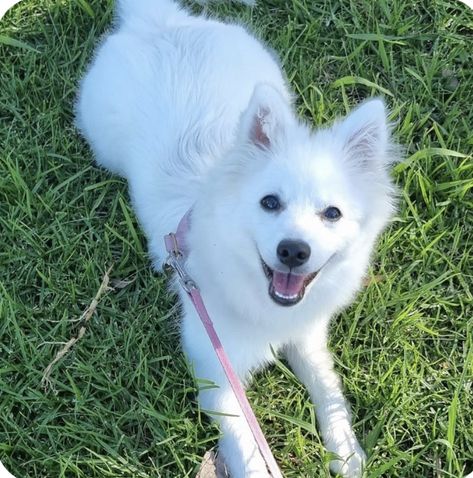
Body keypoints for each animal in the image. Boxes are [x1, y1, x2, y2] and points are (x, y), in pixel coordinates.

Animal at [75, 1, 396, 476]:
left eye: (332, 214)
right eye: (270, 202)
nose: (293, 251)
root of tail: (158, 23)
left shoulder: (308, 337)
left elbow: (327, 388)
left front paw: (345, 450)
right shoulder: (218, 375)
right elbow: (246, 447)